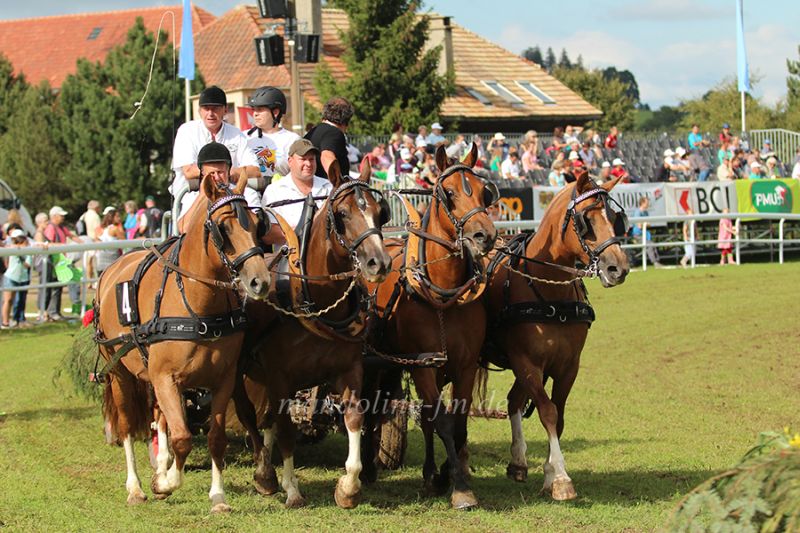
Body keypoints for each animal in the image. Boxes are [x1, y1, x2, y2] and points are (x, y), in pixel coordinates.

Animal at [94, 173, 270, 512]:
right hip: (119, 373)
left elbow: (215, 438)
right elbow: (183, 438)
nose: (260, 281)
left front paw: (218, 497)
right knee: (127, 426)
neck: (199, 307)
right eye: (224, 227)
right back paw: (135, 487)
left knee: (160, 417)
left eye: (258, 224)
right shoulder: (166, 378)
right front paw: (163, 484)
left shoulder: (223, 379)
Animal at [232, 160, 393, 509]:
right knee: (249, 414)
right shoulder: (280, 376)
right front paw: (292, 489)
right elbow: (286, 431)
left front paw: (348, 487)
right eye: (342, 213)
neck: (316, 301)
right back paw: (264, 473)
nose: (380, 263)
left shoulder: (350, 370)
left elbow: (355, 419)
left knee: (266, 418)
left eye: (380, 211)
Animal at [361, 143, 498, 509]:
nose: (485, 235)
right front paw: (460, 488)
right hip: (378, 362)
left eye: (484, 191)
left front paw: (448, 474)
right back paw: (367, 468)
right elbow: (442, 421)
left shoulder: (463, 365)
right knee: (371, 407)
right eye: (448, 193)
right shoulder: (422, 365)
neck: (442, 294)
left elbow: (459, 423)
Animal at [482, 169, 630, 500]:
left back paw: (518, 461)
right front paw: (561, 478)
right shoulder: (526, 363)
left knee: (514, 401)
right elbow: (547, 412)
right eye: (586, 219)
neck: (550, 294)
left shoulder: (568, 365)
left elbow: (559, 417)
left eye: (616, 217)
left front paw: (550, 473)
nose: (618, 268)